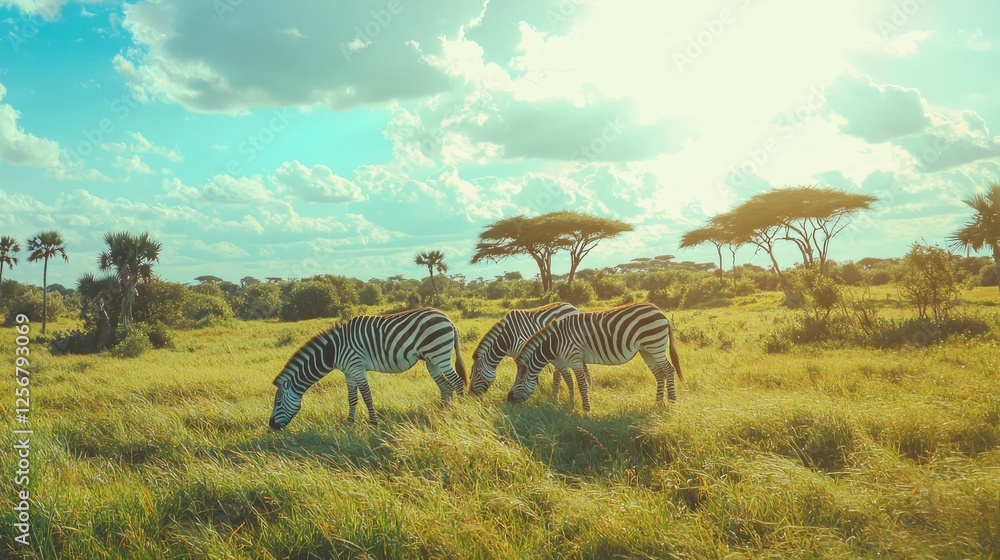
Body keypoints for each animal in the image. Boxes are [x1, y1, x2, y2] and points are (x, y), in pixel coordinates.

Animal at [269, 307, 466, 429]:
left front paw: (373, 423)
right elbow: (352, 398)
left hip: (440, 354)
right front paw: (349, 424)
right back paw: (443, 412)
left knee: (457, 383)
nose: (271, 426)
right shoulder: (348, 372)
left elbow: (367, 397)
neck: (333, 351)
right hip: (432, 360)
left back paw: (460, 413)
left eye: (277, 402)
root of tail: (447, 318)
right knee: (446, 387)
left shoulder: (357, 367)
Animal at [507, 302, 683, 412]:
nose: (508, 400)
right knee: (659, 373)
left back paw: (672, 402)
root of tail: (660, 311)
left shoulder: (575, 360)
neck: (554, 344)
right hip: (647, 350)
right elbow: (570, 382)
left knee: (669, 370)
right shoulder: (564, 361)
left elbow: (582, 385)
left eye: (519, 382)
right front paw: (571, 404)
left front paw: (586, 410)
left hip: (655, 345)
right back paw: (658, 403)